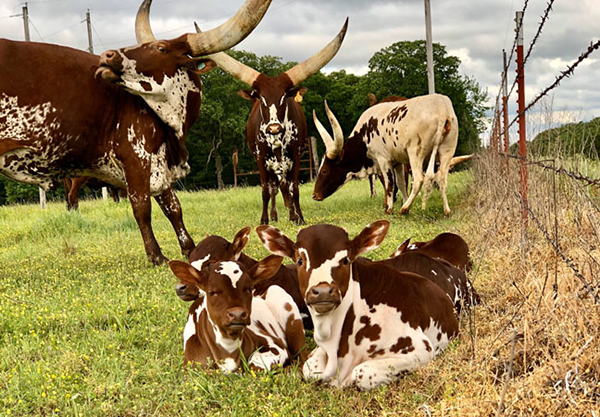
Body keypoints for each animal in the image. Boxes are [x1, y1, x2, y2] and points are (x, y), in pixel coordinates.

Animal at [0, 0, 272, 264]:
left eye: (161, 48)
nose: (107, 55)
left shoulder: (157, 162)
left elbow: (173, 207)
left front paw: (189, 248)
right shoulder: (136, 156)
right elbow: (142, 207)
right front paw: (156, 256)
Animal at [197, 18, 346, 224]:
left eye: (284, 97)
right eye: (261, 98)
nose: (274, 128)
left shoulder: (296, 156)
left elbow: (293, 188)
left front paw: (298, 218)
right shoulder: (260, 158)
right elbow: (266, 190)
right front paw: (265, 220)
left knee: (284, 185)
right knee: (275, 187)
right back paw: (275, 216)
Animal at [255, 219, 458, 388]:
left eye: (346, 260)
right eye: (299, 260)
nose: (322, 291)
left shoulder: (420, 348)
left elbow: (362, 372)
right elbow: (309, 367)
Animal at [314, 94, 460, 214]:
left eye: (325, 171)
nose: (314, 195)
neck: (364, 136)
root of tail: (441, 109)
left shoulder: (383, 160)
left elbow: (390, 184)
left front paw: (390, 209)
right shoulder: (398, 162)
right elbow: (401, 183)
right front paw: (404, 201)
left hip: (416, 153)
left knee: (419, 179)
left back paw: (404, 209)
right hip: (446, 152)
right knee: (442, 178)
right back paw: (446, 211)